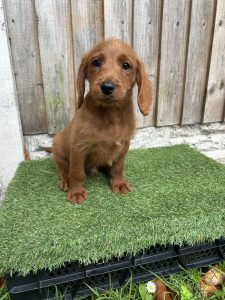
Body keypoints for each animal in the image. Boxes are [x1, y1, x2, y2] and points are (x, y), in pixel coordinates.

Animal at [52, 38, 151, 204]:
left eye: (126, 65)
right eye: (96, 62)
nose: (107, 87)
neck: (111, 113)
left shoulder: (124, 145)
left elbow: (118, 167)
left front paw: (118, 183)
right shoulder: (79, 148)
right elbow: (77, 172)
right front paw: (76, 192)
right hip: (58, 147)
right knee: (64, 168)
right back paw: (66, 180)